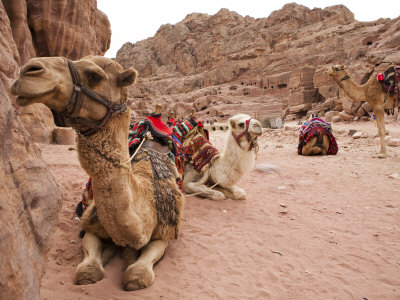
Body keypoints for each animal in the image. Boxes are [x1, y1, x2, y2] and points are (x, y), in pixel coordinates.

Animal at [9, 55, 184, 290]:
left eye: (94, 76)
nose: (28, 69)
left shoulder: (164, 233)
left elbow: (137, 274)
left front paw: (130, 258)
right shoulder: (92, 222)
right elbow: (87, 270)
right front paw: (112, 253)